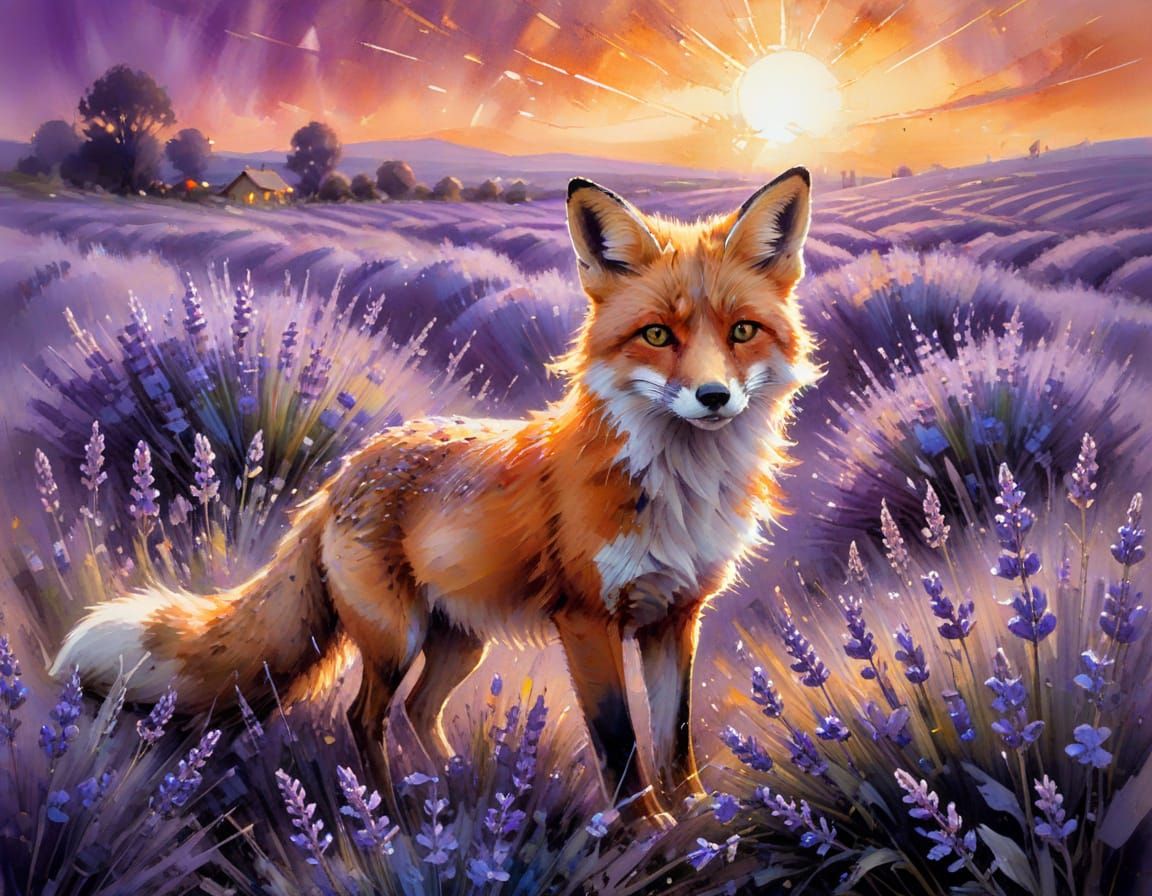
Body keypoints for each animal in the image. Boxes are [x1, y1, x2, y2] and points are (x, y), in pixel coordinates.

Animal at [52, 167, 819, 823]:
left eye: (742, 331)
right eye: (658, 334)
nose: (713, 396)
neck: (679, 490)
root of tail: (339, 477)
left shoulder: (675, 616)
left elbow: (675, 738)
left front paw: (700, 821)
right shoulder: (586, 620)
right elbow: (619, 744)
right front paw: (645, 835)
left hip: (459, 642)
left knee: (421, 712)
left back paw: (458, 787)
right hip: (397, 638)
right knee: (365, 718)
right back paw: (389, 816)